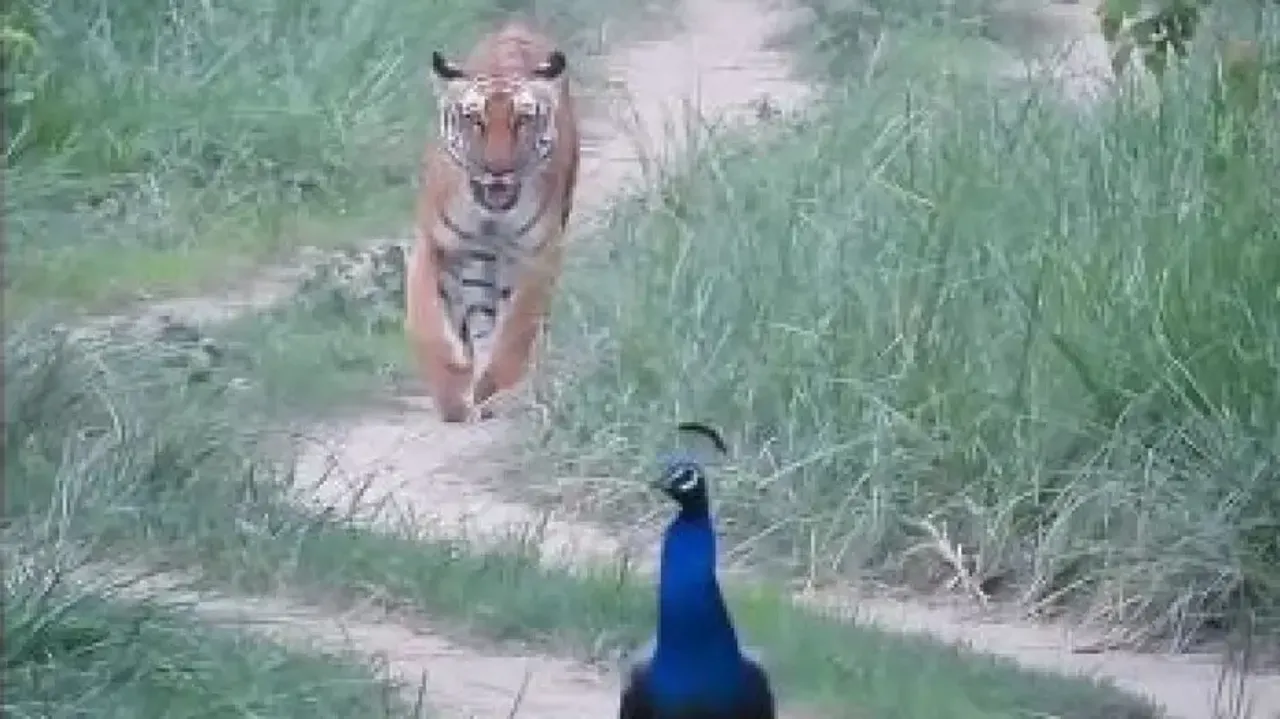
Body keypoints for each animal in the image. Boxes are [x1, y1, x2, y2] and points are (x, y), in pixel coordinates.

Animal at [405, 21, 581, 423]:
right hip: (476, 263)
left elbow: (518, 326)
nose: (497, 170)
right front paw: (451, 391)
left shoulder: (539, 252)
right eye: (475, 120)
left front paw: (495, 387)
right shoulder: (434, 243)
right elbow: (427, 321)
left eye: (523, 120)